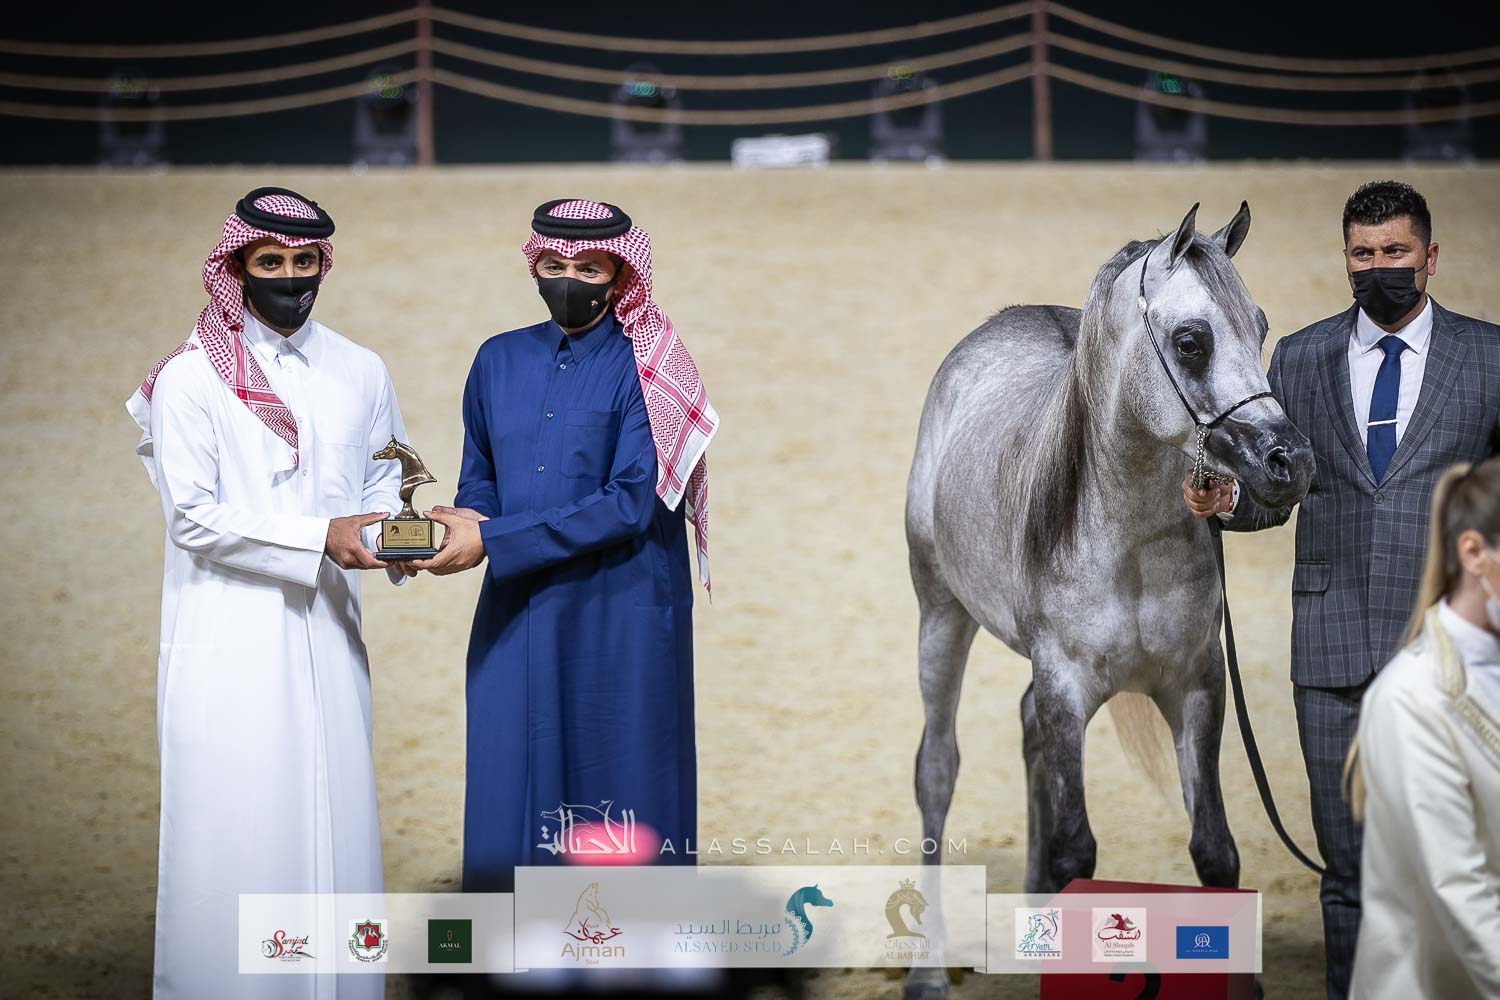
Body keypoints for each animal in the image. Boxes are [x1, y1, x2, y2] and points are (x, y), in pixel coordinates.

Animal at [902, 203, 1314, 997]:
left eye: (1260, 326)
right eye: (1191, 341)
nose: (1292, 464)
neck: (1126, 543)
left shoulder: (1196, 685)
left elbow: (1215, 849)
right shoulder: (1066, 687)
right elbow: (1075, 853)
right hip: (941, 617)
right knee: (937, 768)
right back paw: (927, 972)